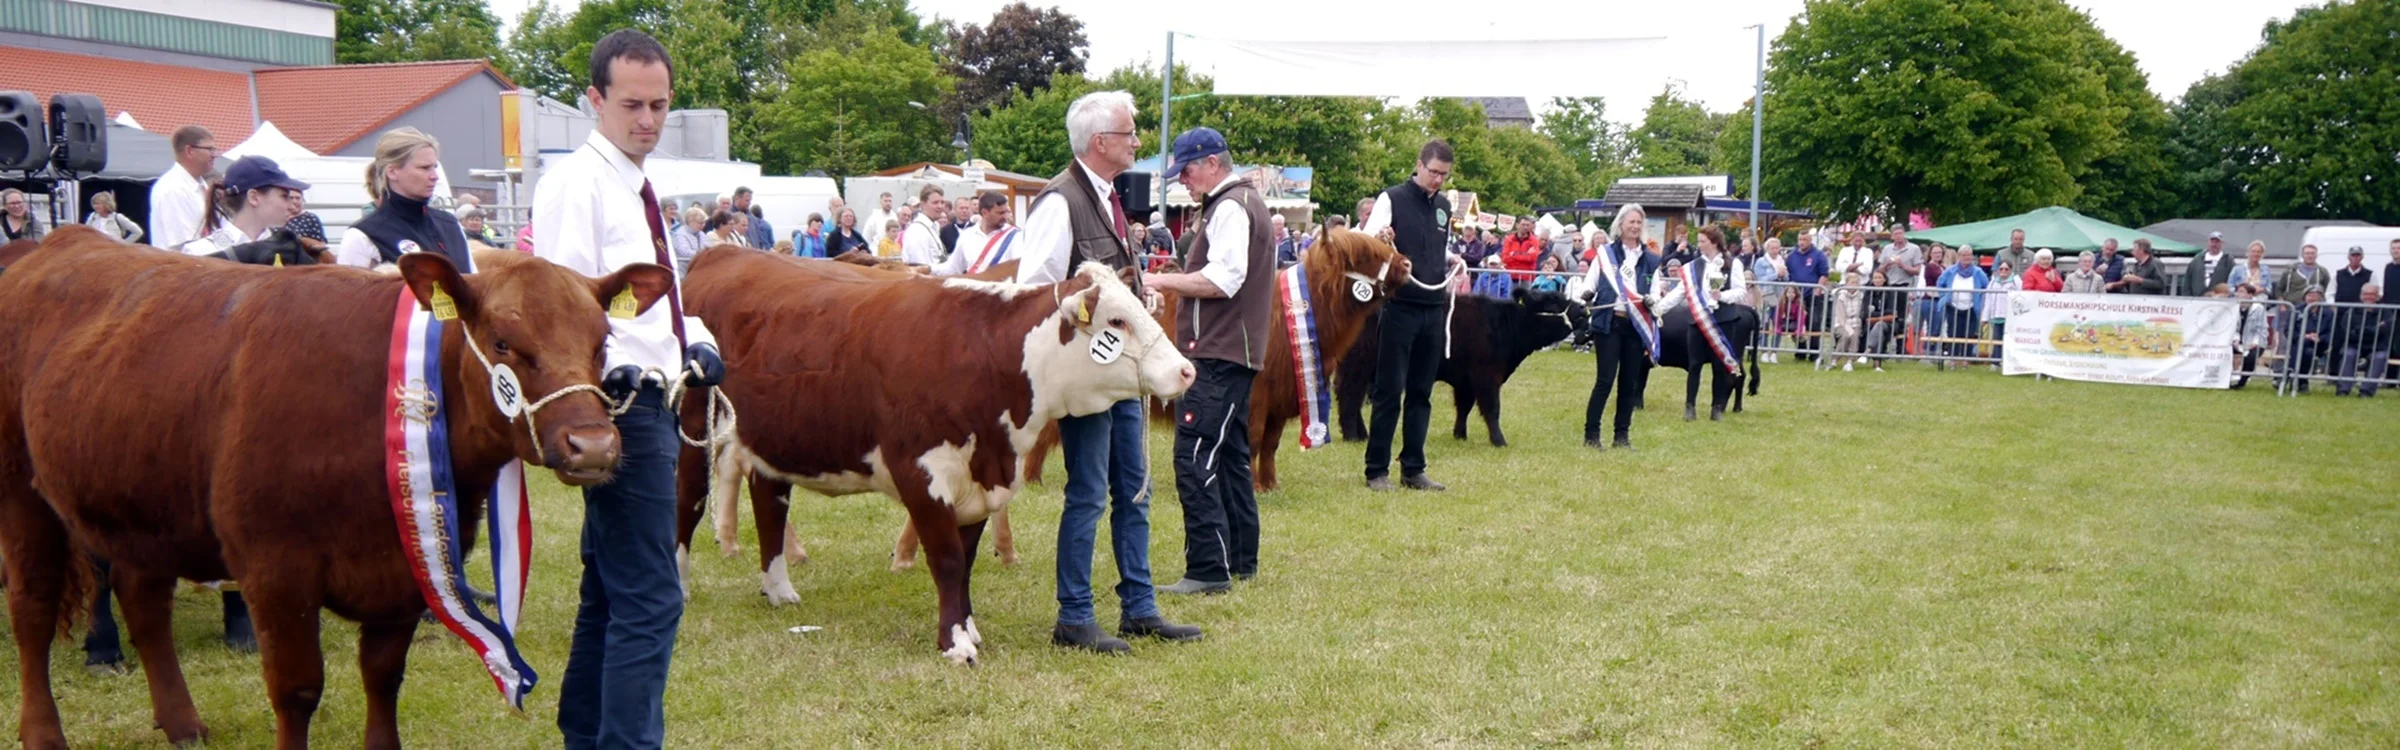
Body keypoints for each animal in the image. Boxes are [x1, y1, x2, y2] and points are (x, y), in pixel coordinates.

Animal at [0, 227, 672, 750]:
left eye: (601, 343)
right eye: (504, 343)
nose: (593, 446)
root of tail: (53, 241)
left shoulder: (406, 564)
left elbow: (383, 676)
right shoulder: (275, 570)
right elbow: (298, 690)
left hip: (145, 506)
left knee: (142, 602)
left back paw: (183, 722)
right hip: (23, 496)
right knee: (33, 611)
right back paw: (43, 732)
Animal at [1344, 288, 1584, 444]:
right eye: (1552, 303)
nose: (1583, 308)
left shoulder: (1465, 380)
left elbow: (1464, 407)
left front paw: (1460, 435)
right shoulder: (1486, 375)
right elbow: (1492, 407)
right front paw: (1499, 440)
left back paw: (1361, 434)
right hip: (1359, 364)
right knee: (1349, 395)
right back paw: (1352, 435)